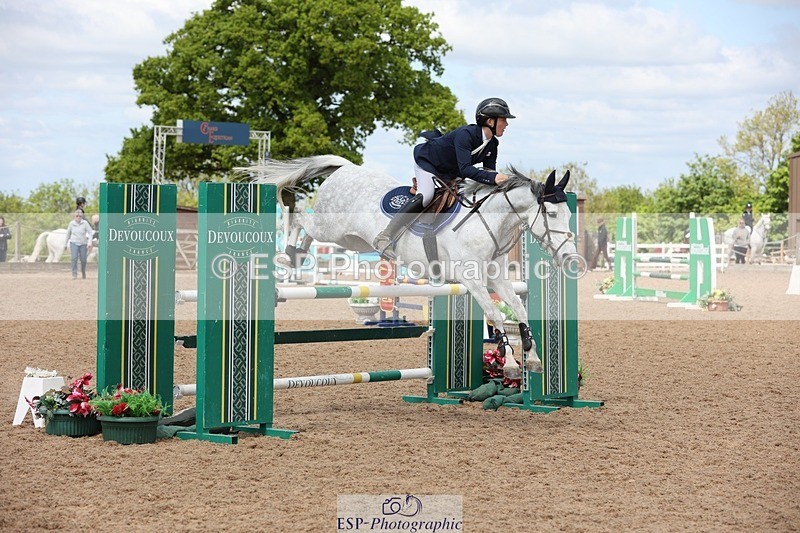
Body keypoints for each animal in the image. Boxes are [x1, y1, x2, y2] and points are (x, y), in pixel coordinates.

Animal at [245, 155, 583, 379]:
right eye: (552, 214)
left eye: (568, 214)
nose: (569, 258)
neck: (488, 221)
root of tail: (347, 167)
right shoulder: (471, 279)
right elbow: (496, 313)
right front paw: (512, 364)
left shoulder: (495, 277)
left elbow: (519, 309)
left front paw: (532, 357)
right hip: (332, 228)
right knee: (300, 218)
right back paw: (288, 255)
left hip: (350, 239)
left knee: (307, 229)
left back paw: (297, 256)